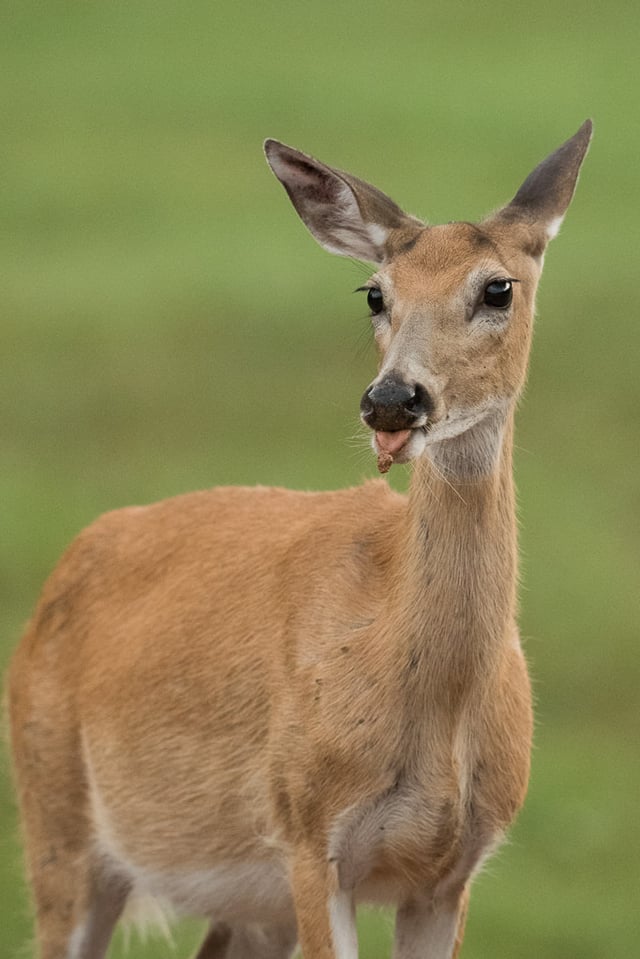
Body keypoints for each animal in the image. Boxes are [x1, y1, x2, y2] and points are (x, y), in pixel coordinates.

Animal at [7, 122, 592, 959]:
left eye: (497, 288)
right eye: (374, 292)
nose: (392, 399)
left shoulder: (451, 872)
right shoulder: (311, 833)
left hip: (246, 905)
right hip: (53, 814)